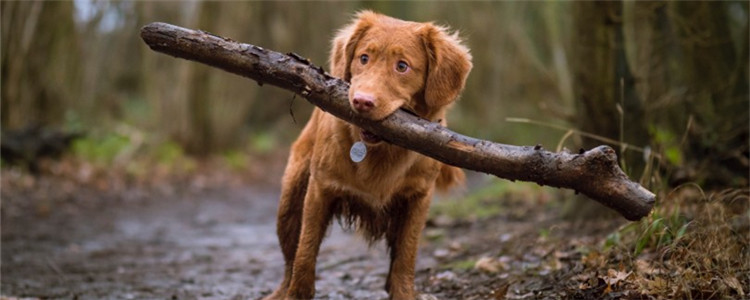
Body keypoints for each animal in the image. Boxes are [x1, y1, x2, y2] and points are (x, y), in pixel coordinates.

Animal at [268, 10, 472, 298]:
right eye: (363, 58)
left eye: (402, 66)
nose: (362, 102)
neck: (380, 151)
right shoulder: (320, 189)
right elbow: (305, 253)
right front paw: (297, 293)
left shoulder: (418, 198)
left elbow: (405, 257)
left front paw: (404, 292)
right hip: (290, 200)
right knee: (289, 261)